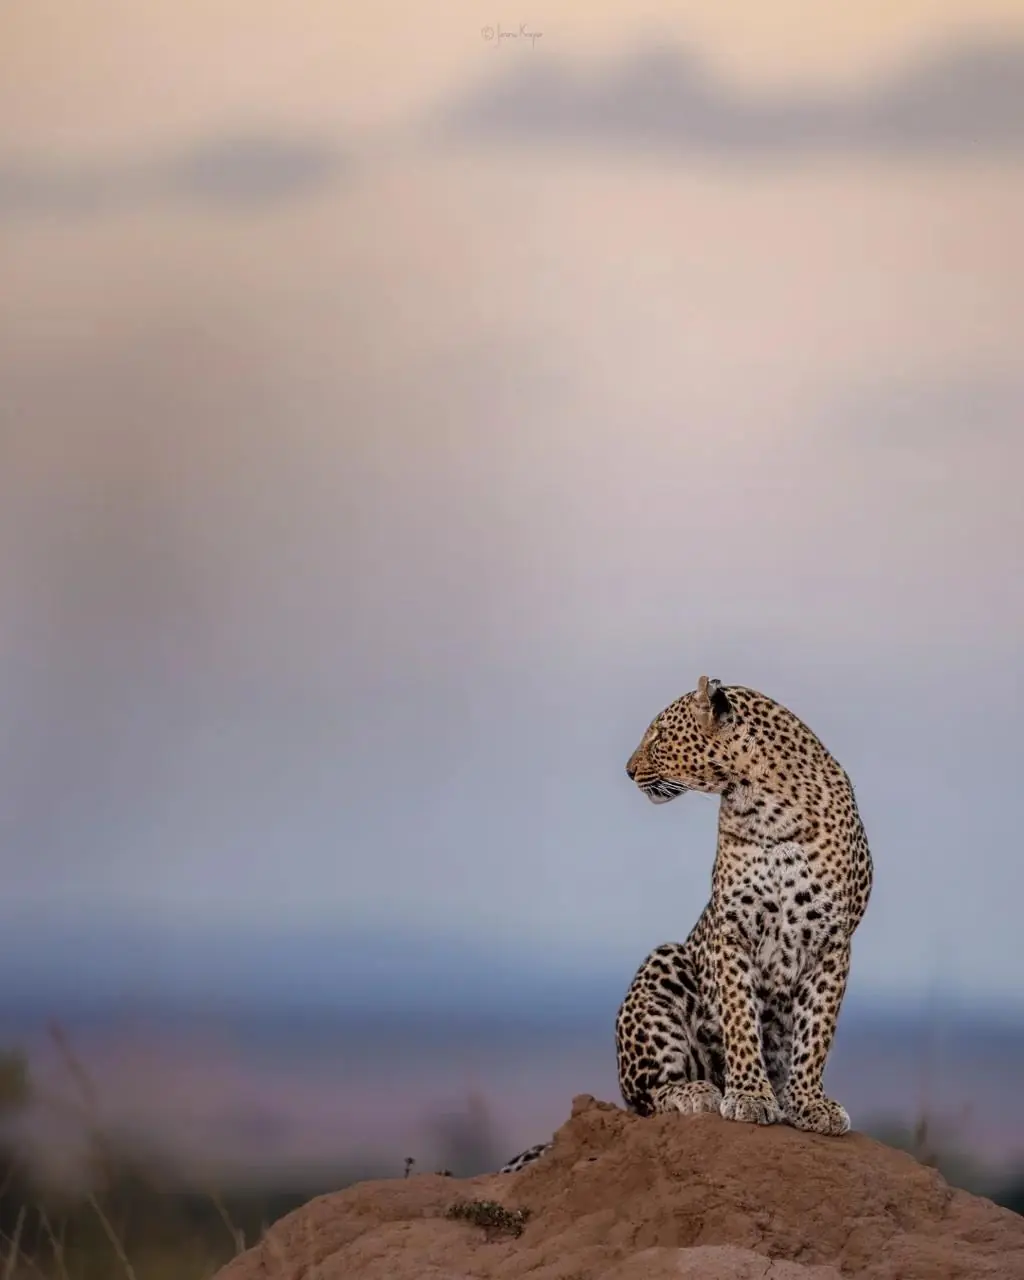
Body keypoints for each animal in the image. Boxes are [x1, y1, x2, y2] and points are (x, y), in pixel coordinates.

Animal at [497, 675, 872, 1174]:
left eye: (658, 736)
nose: (628, 770)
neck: (767, 807)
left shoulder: (833, 942)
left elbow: (816, 1032)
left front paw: (809, 1102)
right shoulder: (732, 930)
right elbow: (740, 1018)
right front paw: (750, 1095)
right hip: (665, 964)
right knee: (646, 1098)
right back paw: (697, 1092)